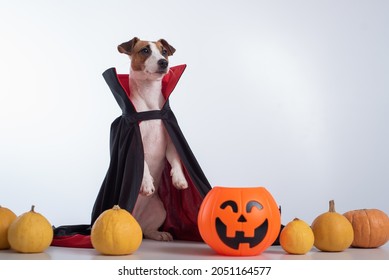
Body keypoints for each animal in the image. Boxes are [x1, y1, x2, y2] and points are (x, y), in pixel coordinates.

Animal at [116, 38, 188, 242]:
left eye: (164, 52)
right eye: (145, 50)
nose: (164, 63)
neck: (149, 100)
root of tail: (136, 219)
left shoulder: (170, 143)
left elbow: (176, 160)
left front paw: (179, 179)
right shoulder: (136, 141)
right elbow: (144, 163)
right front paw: (147, 182)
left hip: (160, 209)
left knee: (147, 230)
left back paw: (159, 233)